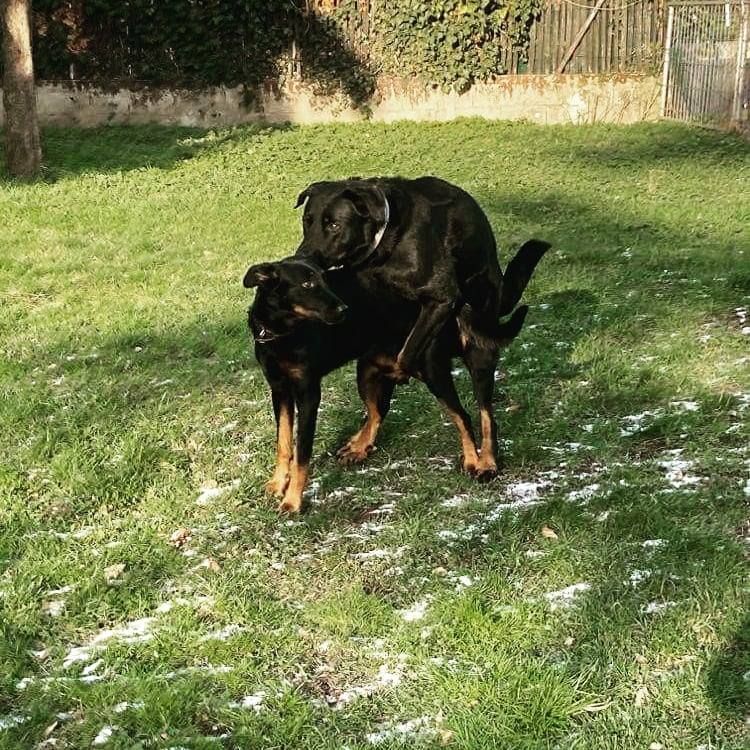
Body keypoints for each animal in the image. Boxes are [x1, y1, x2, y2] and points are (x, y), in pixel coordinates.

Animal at [245, 241, 548, 512]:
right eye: (308, 285)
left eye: (325, 280)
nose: (344, 310)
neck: (280, 334)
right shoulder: (279, 390)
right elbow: (284, 443)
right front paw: (278, 484)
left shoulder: (308, 393)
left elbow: (302, 453)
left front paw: (293, 501)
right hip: (366, 372)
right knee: (379, 411)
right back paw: (359, 447)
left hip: (433, 369)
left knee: (464, 415)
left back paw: (474, 461)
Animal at [296, 178, 548, 476]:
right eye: (307, 221)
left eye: (334, 225)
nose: (301, 257)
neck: (387, 239)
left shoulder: (441, 298)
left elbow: (408, 351)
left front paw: (401, 368)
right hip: (365, 370)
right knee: (378, 409)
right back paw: (360, 444)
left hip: (478, 353)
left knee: (482, 413)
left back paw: (485, 460)